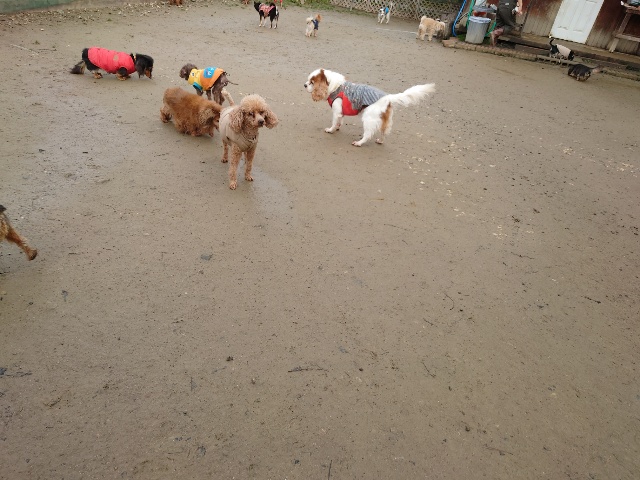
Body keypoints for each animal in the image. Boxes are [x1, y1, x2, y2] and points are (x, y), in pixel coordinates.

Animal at [304, 69, 435, 147]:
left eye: (312, 82)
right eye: (308, 81)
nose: (304, 85)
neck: (336, 87)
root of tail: (388, 98)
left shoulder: (336, 111)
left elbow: (334, 122)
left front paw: (331, 130)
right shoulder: (341, 112)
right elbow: (340, 121)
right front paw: (337, 128)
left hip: (368, 118)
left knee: (368, 134)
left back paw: (359, 142)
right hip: (384, 120)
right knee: (383, 132)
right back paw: (380, 141)